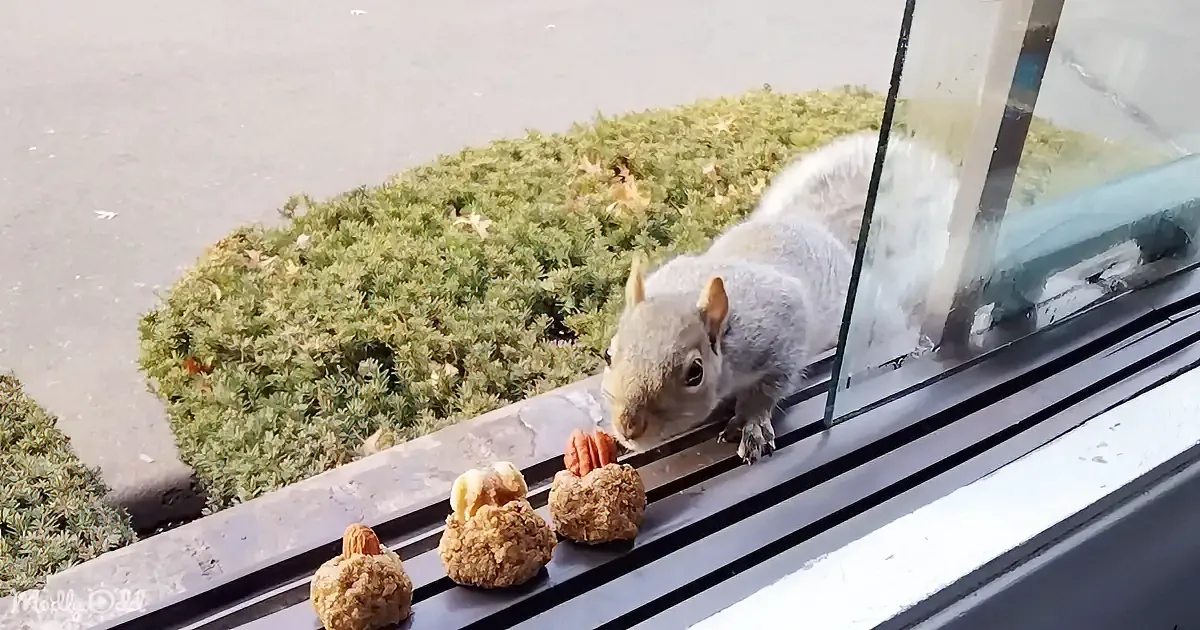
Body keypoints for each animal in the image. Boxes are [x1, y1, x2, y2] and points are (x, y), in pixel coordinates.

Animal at [601, 131, 960, 464]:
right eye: (608, 354)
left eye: (695, 374)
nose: (628, 427)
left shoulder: (781, 331)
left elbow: (771, 386)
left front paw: (751, 423)